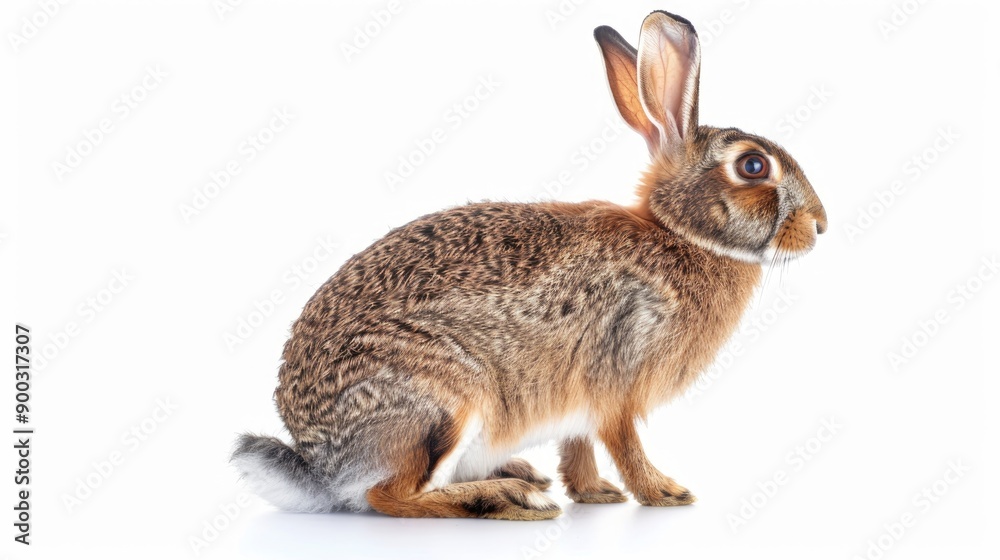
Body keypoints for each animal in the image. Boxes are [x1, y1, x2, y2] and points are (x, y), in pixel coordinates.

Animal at [232, 10, 827, 520]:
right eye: (753, 166)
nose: (820, 225)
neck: (679, 234)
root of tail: (320, 467)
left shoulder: (580, 405)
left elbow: (579, 447)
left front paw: (596, 494)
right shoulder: (617, 378)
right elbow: (624, 443)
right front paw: (664, 493)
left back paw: (520, 477)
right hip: (442, 403)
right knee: (389, 496)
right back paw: (509, 499)